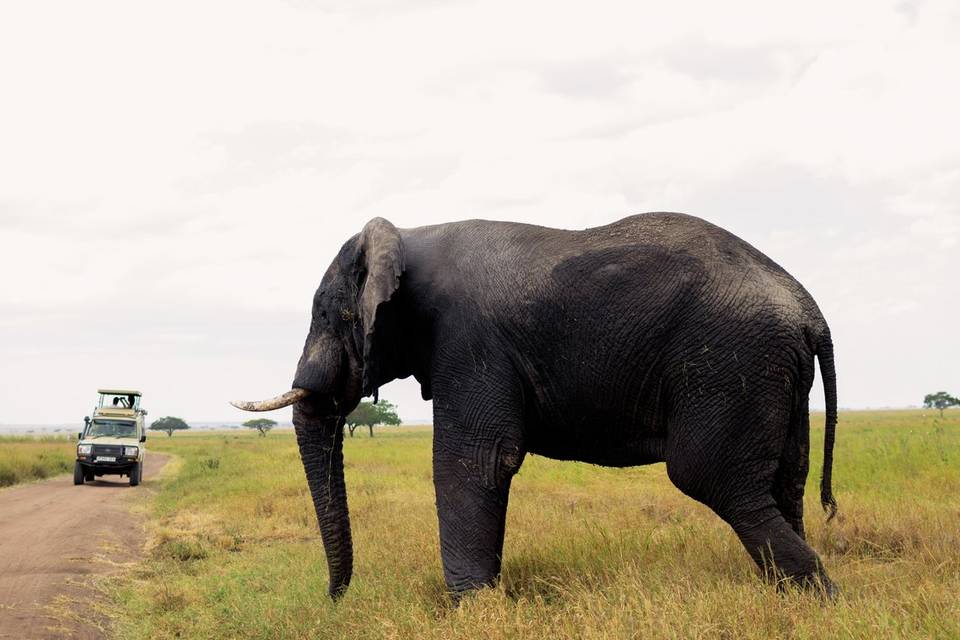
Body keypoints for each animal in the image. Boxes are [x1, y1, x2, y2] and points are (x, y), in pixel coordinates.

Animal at [233, 212, 839, 600]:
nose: (334, 598)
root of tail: (810, 310)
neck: (409, 234)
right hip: (775, 375)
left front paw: (473, 608)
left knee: (715, 478)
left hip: (729, 363)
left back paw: (819, 597)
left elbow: (474, 460)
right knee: (782, 483)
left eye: (329, 315)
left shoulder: (470, 339)